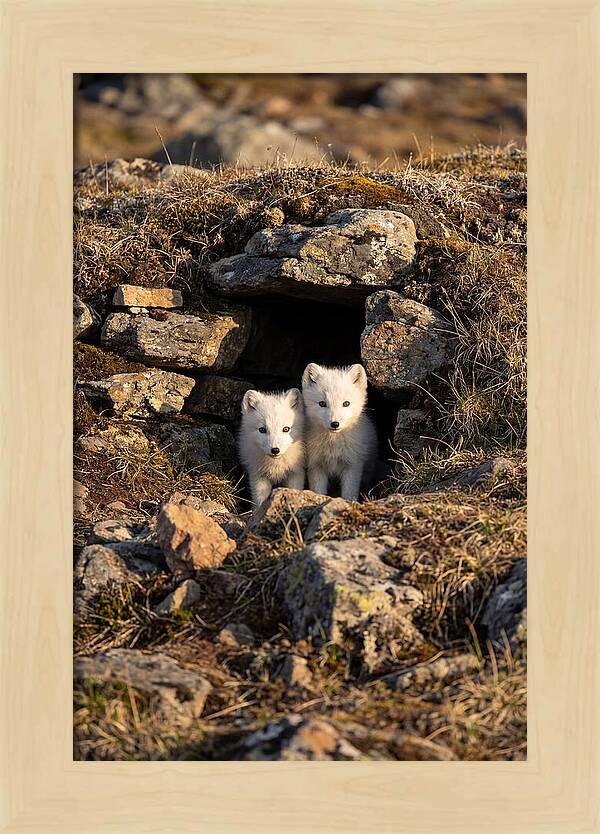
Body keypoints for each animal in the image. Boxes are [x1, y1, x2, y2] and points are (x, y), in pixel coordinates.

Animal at [302, 362, 377, 501]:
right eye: (322, 403)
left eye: (346, 403)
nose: (335, 424)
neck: (333, 445)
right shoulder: (315, 466)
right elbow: (318, 491)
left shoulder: (353, 466)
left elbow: (349, 493)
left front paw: (350, 502)